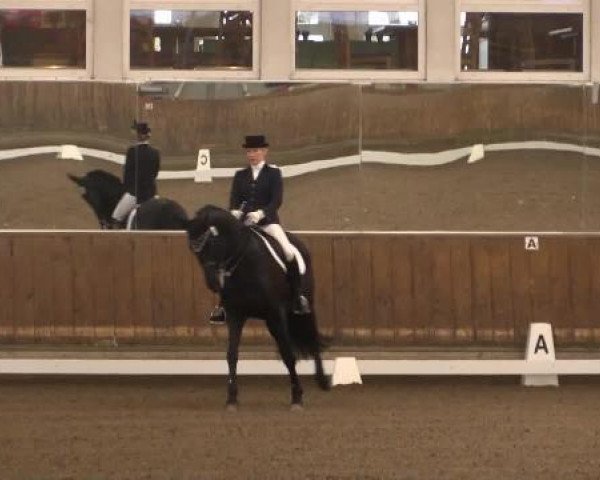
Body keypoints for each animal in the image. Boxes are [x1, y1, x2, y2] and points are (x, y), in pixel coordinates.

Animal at [186, 204, 328, 410]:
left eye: (211, 242)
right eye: (193, 249)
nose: (212, 283)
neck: (246, 262)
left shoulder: (275, 315)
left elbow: (288, 354)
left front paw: (297, 397)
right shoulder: (236, 315)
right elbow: (232, 355)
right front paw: (232, 398)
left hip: (304, 305)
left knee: (312, 336)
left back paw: (322, 380)